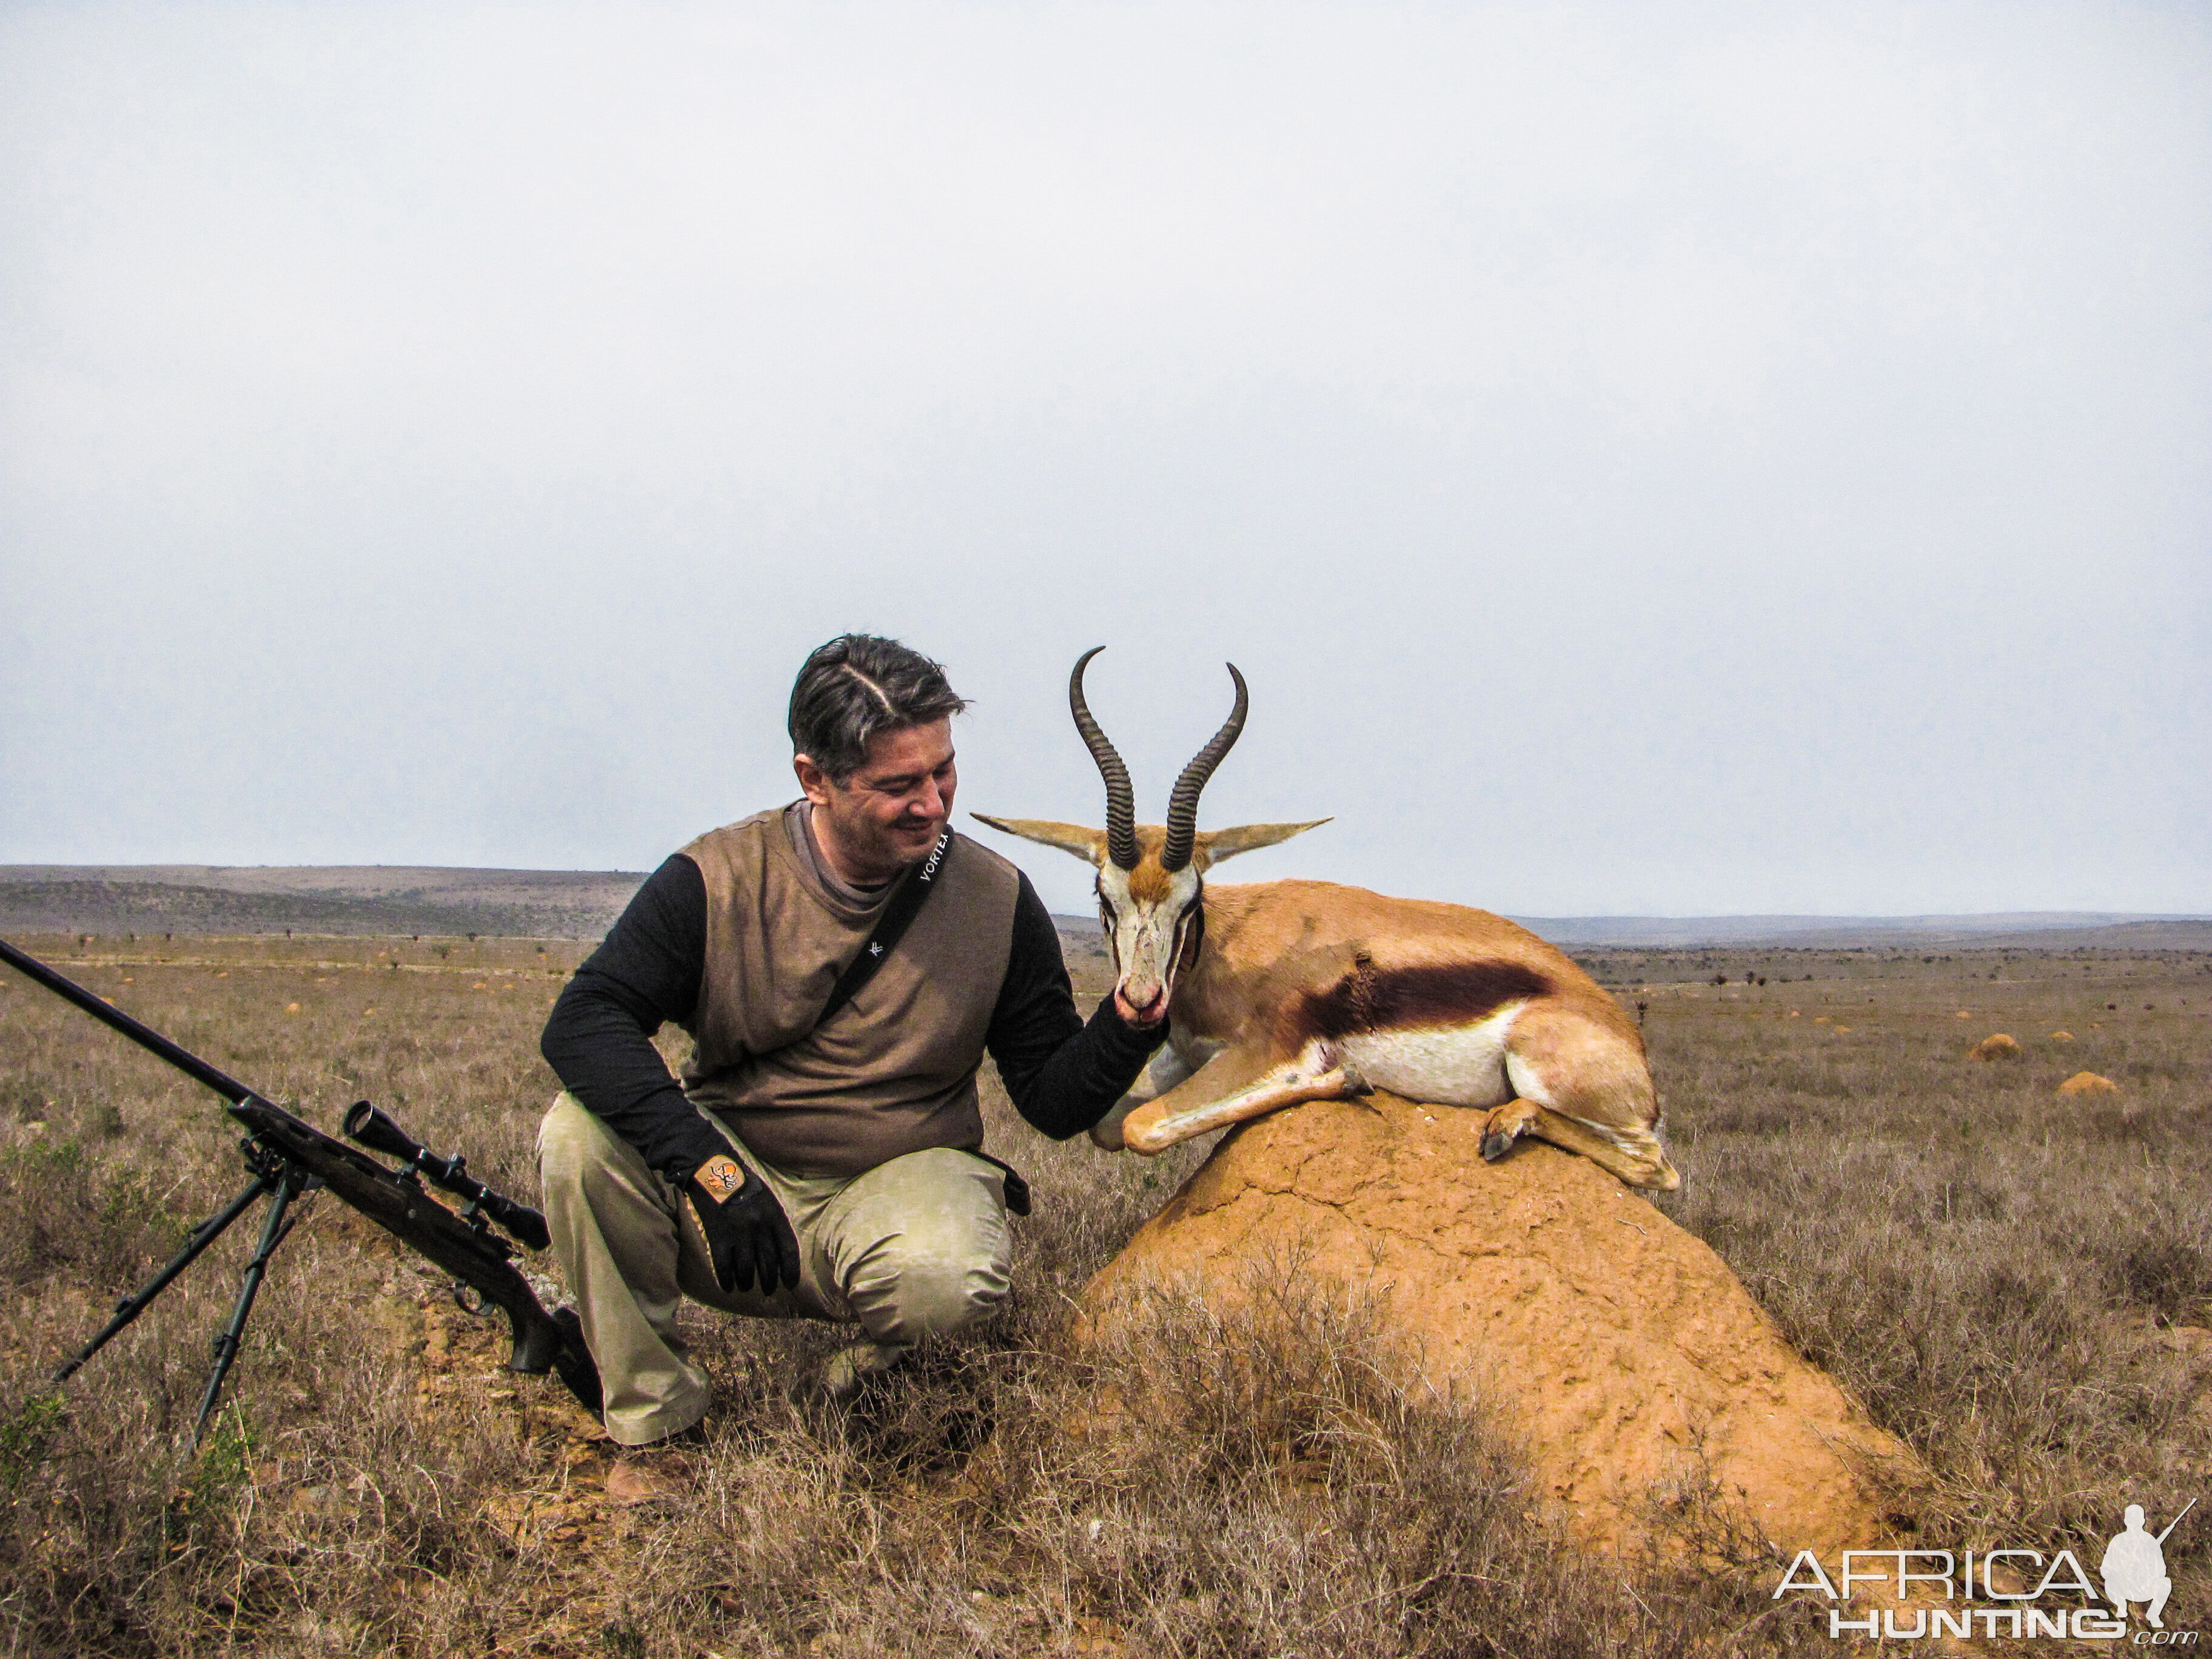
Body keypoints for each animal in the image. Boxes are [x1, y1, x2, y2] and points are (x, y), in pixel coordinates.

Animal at [977, 650, 1681, 1194]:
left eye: (1192, 901)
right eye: (1103, 898)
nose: (1143, 1000)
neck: (1224, 957)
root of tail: (1632, 1048)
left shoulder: (1267, 1052)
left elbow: (1137, 1126)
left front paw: (1345, 1077)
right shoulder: (1183, 1054)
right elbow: (1105, 1124)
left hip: (1542, 1067)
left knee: (1656, 1169)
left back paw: (1503, 1127)